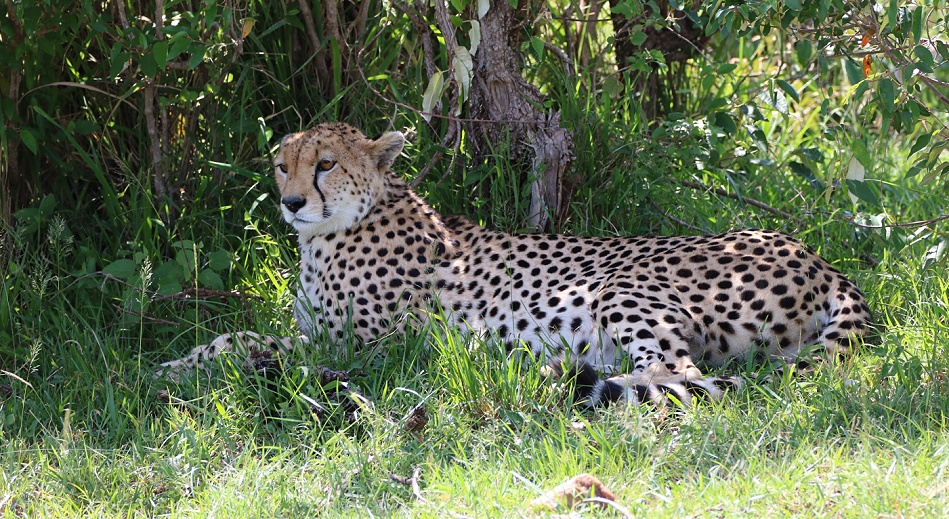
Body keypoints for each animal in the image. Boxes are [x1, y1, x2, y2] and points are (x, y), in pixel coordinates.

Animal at [158, 122, 871, 408]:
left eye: (326, 163)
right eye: (284, 164)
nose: (291, 201)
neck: (336, 231)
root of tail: (816, 256)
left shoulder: (367, 343)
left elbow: (257, 342)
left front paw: (205, 367)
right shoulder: (321, 328)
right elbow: (238, 333)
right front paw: (179, 363)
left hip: (622, 285)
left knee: (690, 378)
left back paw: (556, 379)